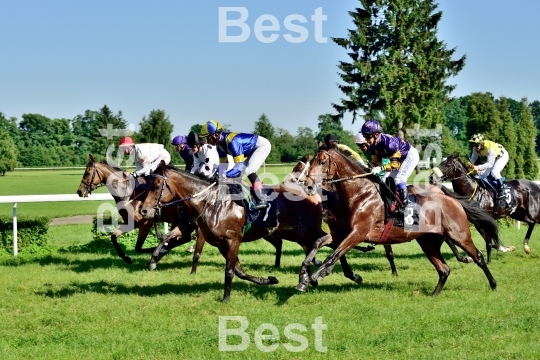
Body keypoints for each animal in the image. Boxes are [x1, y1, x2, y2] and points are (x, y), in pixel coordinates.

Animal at [296, 148, 498, 296]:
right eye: (311, 162)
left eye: (322, 162)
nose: (308, 185)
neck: (360, 194)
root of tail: (450, 198)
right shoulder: (342, 231)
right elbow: (318, 243)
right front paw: (303, 278)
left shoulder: (358, 233)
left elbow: (334, 254)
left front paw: (317, 275)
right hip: (427, 241)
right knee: (444, 269)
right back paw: (434, 295)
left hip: (459, 234)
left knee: (478, 257)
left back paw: (493, 284)